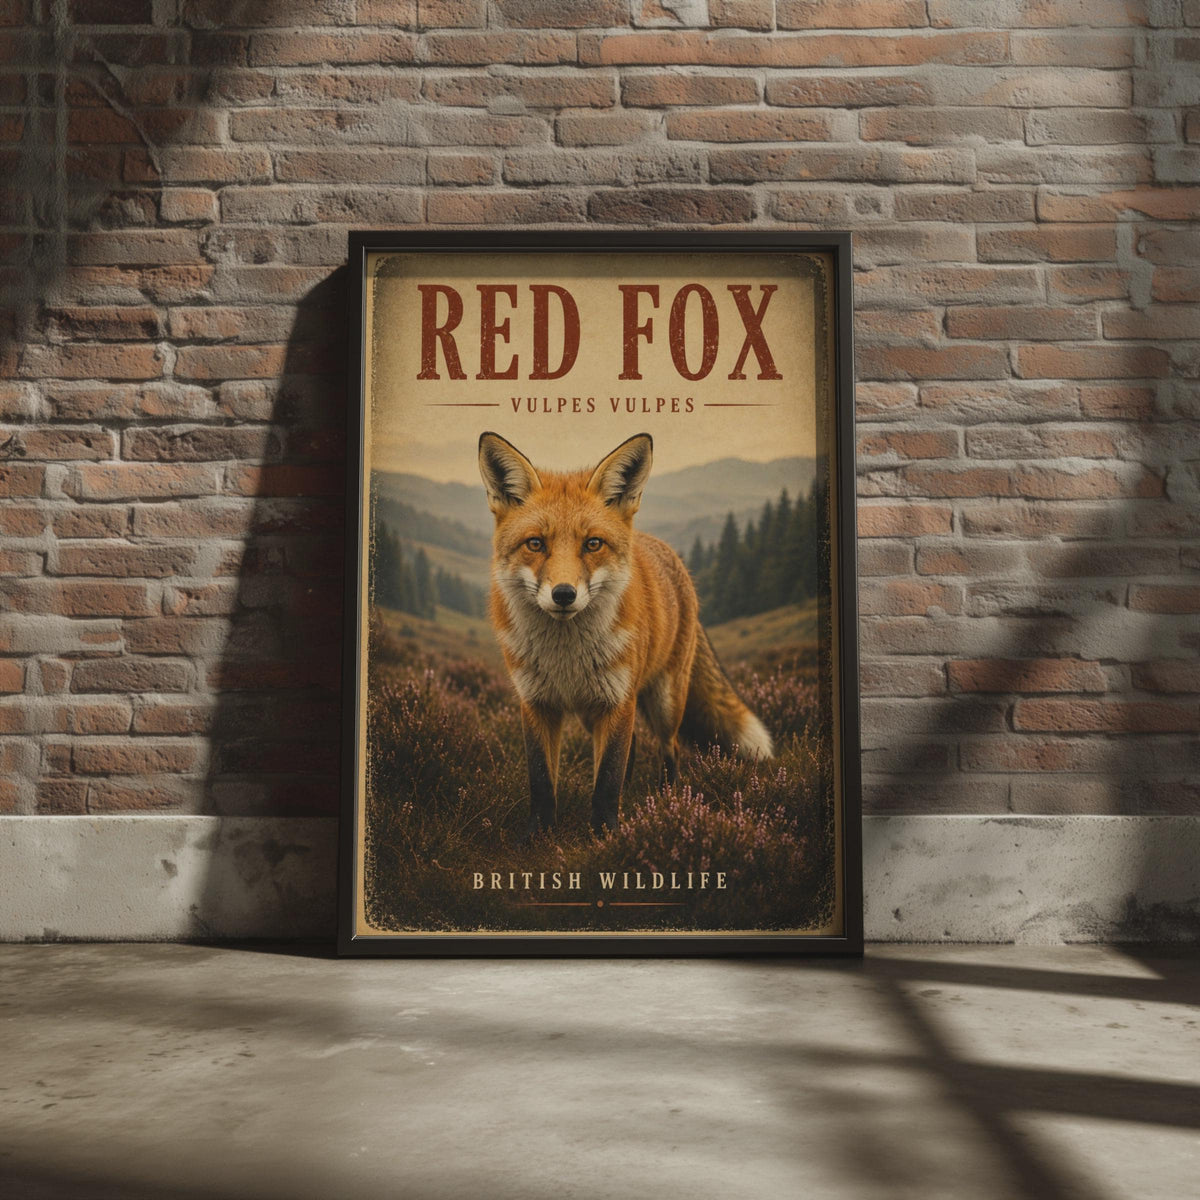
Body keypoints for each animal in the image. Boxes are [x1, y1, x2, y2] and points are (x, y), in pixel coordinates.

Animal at [478, 430, 773, 837]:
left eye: (593, 543)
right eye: (535, 543)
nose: (564, 594)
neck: (565, 660)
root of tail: (666, 551)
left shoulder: (618, 700)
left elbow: (606, 781)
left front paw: (606, 836)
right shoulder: (537, 703)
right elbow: (541, 780)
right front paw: (539, 834)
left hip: (665, 701)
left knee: (670, 748)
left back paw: (670, 799)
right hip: (595, 713)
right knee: (632, 747)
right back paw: (635, 792)